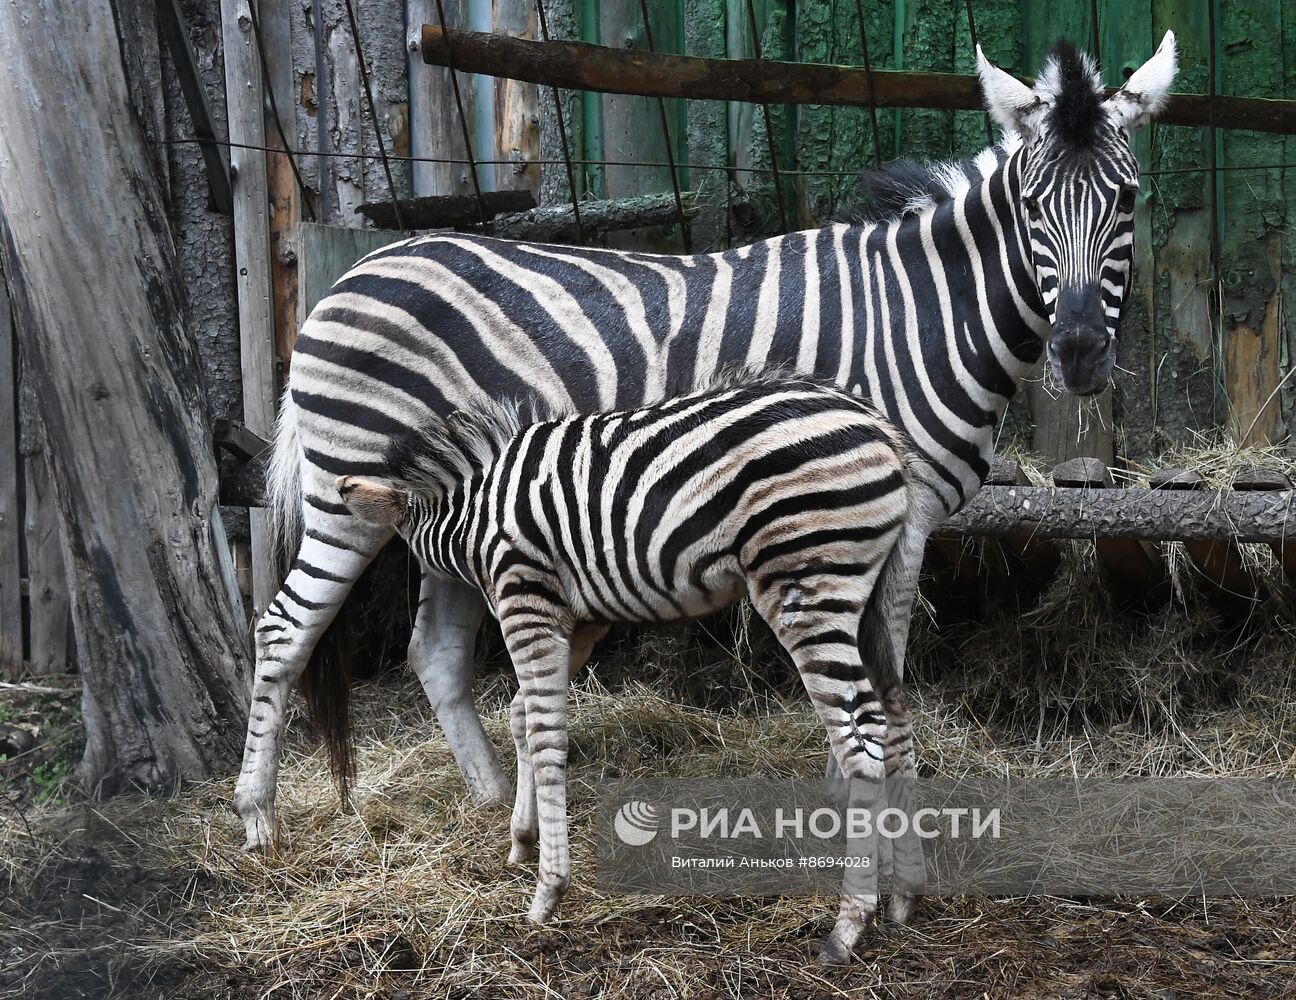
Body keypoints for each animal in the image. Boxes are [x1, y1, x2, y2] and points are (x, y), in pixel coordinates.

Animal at [233, 37, 1176, 849]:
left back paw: (498, 800)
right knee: (281, 629)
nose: (1081, 353)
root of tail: (350, 275)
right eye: (1034, 206)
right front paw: (853, 800)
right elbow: (882, 655)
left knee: (431, 650)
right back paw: (259, 819)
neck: (921, 314)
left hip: (450, 500)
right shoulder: (882, 509)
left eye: (1129, 199)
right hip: (345, 494)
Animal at [334, 378, 922, 958]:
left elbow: (545, 733)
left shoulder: (527, 597)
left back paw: (848, 926)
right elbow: (522, 714)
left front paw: (548, 891)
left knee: (861, 740)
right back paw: (904, 898)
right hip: (875, 593)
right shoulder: (582, 620)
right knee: (895, 717)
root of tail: (881, 429)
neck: (472, 515)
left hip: (807, 581)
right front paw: (522, 839)